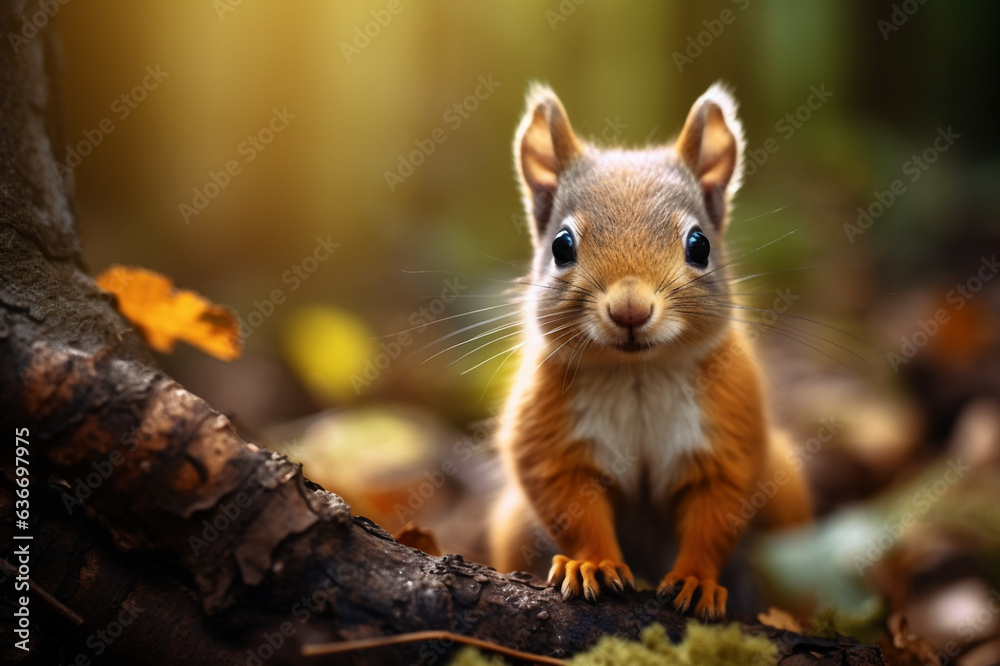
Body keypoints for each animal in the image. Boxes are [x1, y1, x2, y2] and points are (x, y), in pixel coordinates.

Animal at [490, 81, 812, 616]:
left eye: (700, 245)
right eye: (561, 246)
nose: (630, 311)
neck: (636, 373)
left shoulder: (728, 430)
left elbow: (716, 513)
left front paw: (696, 580)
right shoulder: (551, 437)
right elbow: (570, 504)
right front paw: (592, 564)